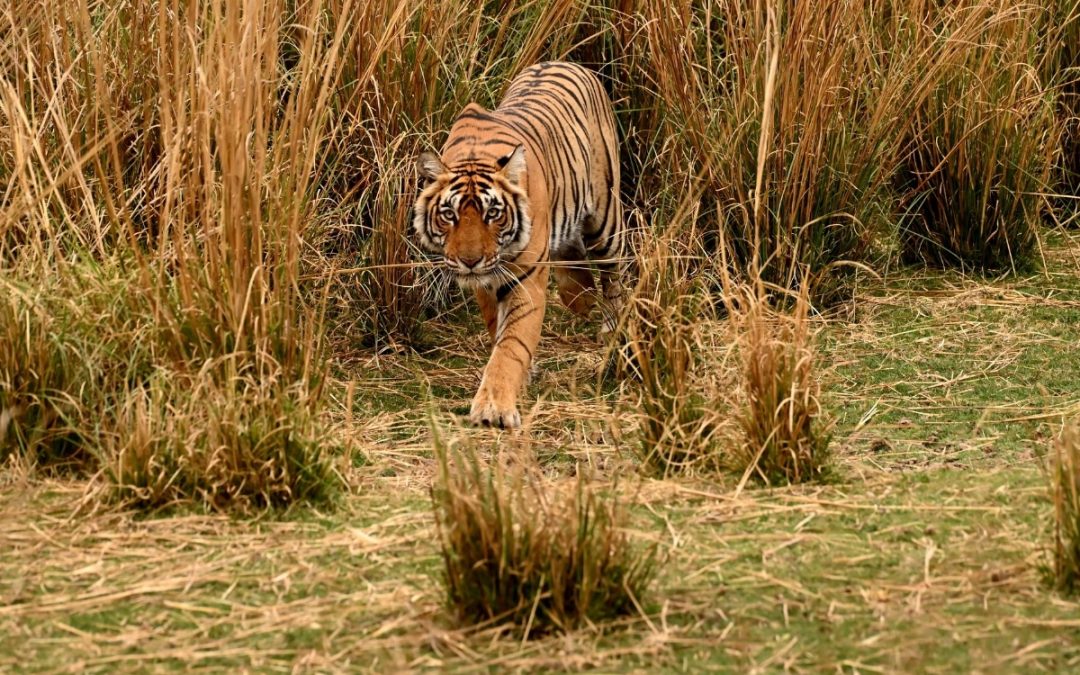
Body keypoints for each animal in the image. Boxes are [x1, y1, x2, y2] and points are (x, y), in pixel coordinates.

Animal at [412, 61, 626, 429]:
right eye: (449, 215)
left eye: (493, 214)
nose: (470, 261)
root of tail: (567, 62)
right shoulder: (485, 283)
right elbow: (497, 327)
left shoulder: (524, 278)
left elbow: (511, 344)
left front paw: (494, 409)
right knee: (574, 267)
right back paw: (581, 298)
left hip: (605, 218)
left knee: (614, 272)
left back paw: (611, 328)